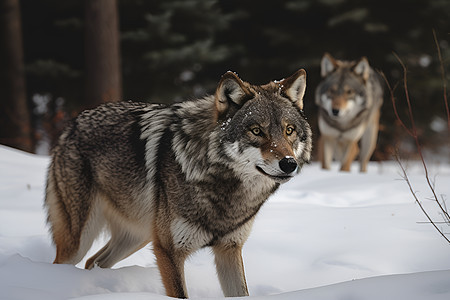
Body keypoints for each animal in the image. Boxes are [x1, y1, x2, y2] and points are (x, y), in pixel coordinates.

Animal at [44, 69, 312, 298]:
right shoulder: (169, 251)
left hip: (137, 236)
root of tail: (72, 124)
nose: (289, 163)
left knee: (93, 262)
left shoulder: (229, 249)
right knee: (64, 263)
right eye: (256, 131)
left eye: (289, 130)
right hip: (79, 240)